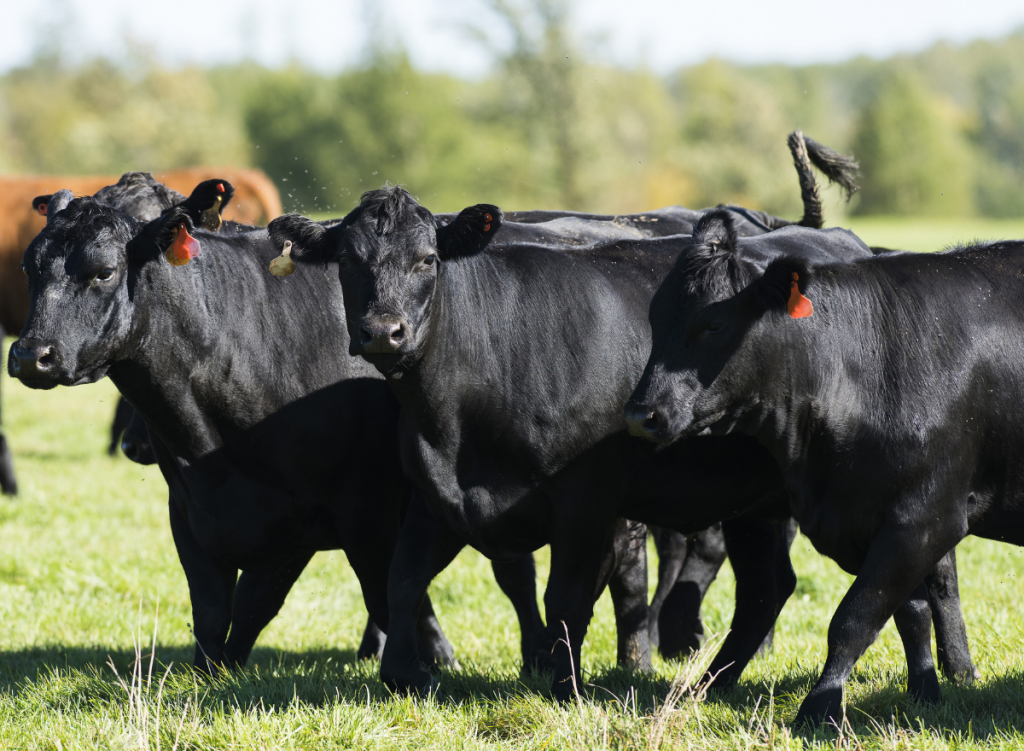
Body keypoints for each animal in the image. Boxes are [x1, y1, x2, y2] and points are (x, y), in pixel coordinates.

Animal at [265, 185, 972, 703]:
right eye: (348, 262)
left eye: (427, 261)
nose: (384, 331)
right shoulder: (435, 494)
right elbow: (402, 578)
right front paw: (404, 677)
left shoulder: (587, 501)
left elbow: (565, 598)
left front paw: (565, 686)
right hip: (756, 504)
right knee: (766, 589)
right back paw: (712, 685)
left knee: (929, 573)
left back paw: (945, 677)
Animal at [624, 209, 1005, 725]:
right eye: (654, 316)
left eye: (714, 324)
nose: (639, 415)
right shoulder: (872, 521)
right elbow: (909, 610)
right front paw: (923, 693)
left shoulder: (926, 516)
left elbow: (855, 617)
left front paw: (819, 709)